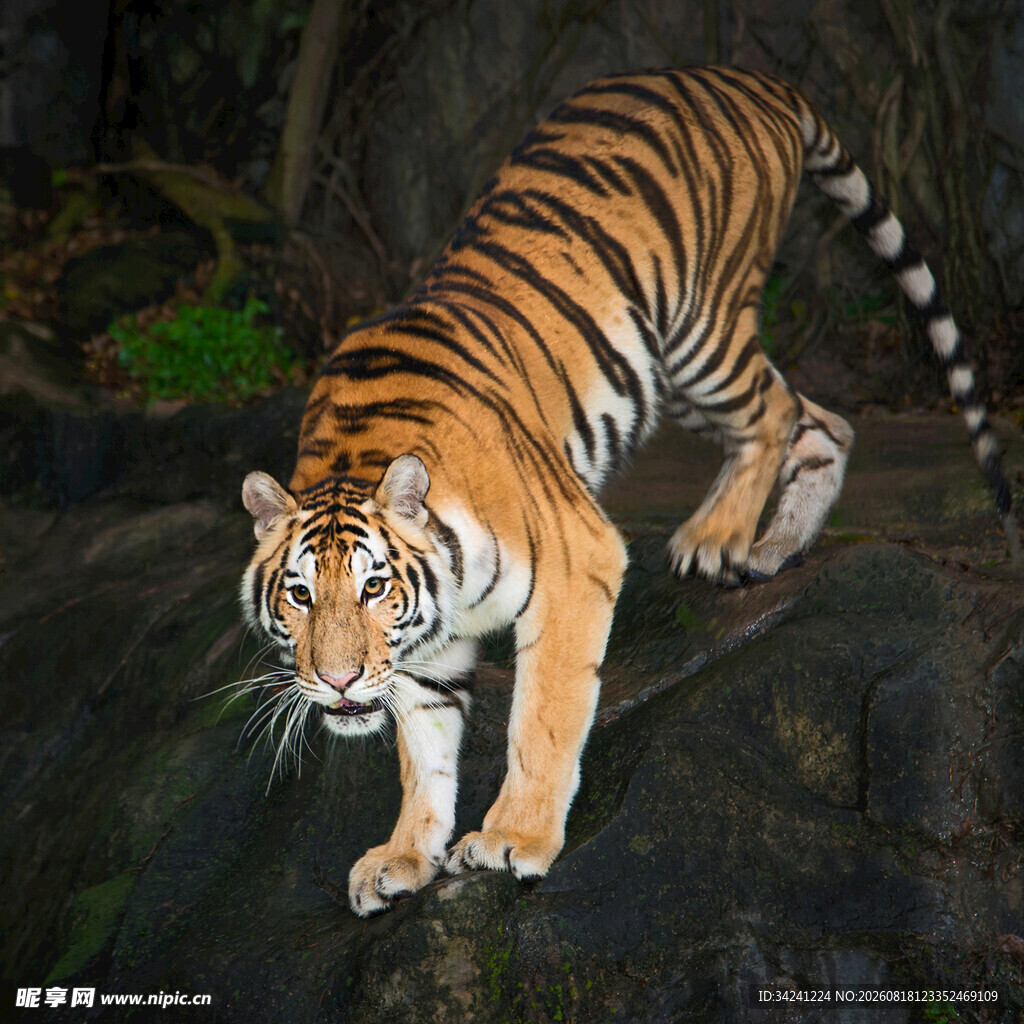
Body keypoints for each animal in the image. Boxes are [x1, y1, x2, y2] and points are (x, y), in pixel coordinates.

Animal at [240, 66, 1016, 917]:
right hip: (673, 369)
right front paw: (406, 856)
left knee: (777, 415)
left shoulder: (576, 563)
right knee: (828, 421)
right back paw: (772, 547)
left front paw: (513, 840)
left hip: (699, 334)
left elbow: (542, 717)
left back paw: (716, 541)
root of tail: (745, 77)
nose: (337, 680)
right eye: (300, 595)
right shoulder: (427, 649)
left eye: (373, 587)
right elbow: (425, 749)